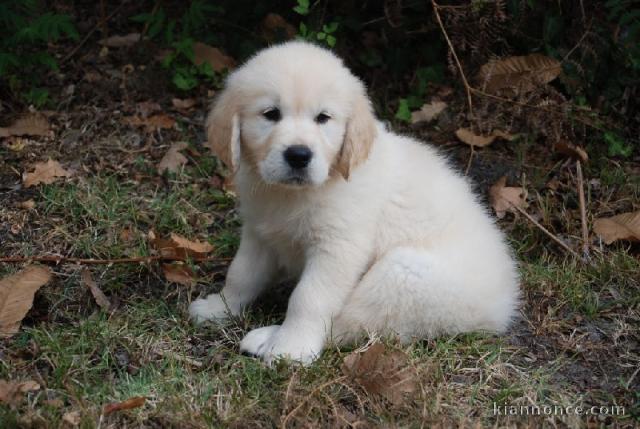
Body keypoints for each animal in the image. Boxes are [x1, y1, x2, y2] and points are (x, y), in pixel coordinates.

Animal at [190, 40, 520, 362]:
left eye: (323, 118)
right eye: (271, 114)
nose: (299, 155)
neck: (296, 193)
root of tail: (504, 305)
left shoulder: (338, 248)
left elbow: (308, 298)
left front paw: (292, 347)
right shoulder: (260, 232)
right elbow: (241, 274)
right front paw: (218, 307)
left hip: (402, 277)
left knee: (348, 325)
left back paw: (270, 339)